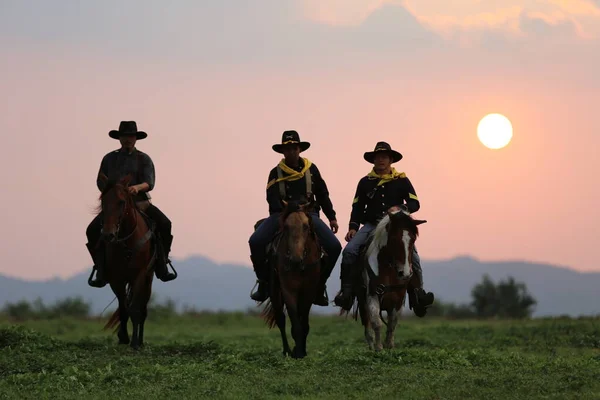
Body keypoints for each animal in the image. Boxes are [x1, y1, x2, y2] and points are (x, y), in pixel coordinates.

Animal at [96, 173, 157, 348]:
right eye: (103, 201)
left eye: (121, 202)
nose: (108, 235)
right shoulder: (116, 278)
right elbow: (123, 308)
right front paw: (123, 337)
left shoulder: (140, 275)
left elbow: (135, 308)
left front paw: (135, 343)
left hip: (149, 279)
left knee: (143, 308)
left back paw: (141, 341)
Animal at [260, 200, 322, 360]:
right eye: (286, 227)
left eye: (306, 226)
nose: (295, 259)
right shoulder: (288, 290)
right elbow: (295, 324)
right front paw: (298, 352)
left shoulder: (309, 291)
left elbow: (304, 323)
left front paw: (302, 351)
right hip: (274, 291)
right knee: (280, 319)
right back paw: (287, 350)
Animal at [352, 208, 426, 352]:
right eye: (394, 239)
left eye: (413, 239)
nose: (405, 273)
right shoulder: (372, 295)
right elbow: (376, 322)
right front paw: (379, 348)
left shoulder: (399, 298)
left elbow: (392, 323)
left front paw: (389, 346)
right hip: (362, 300)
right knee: (367, 324)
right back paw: (371, 344)